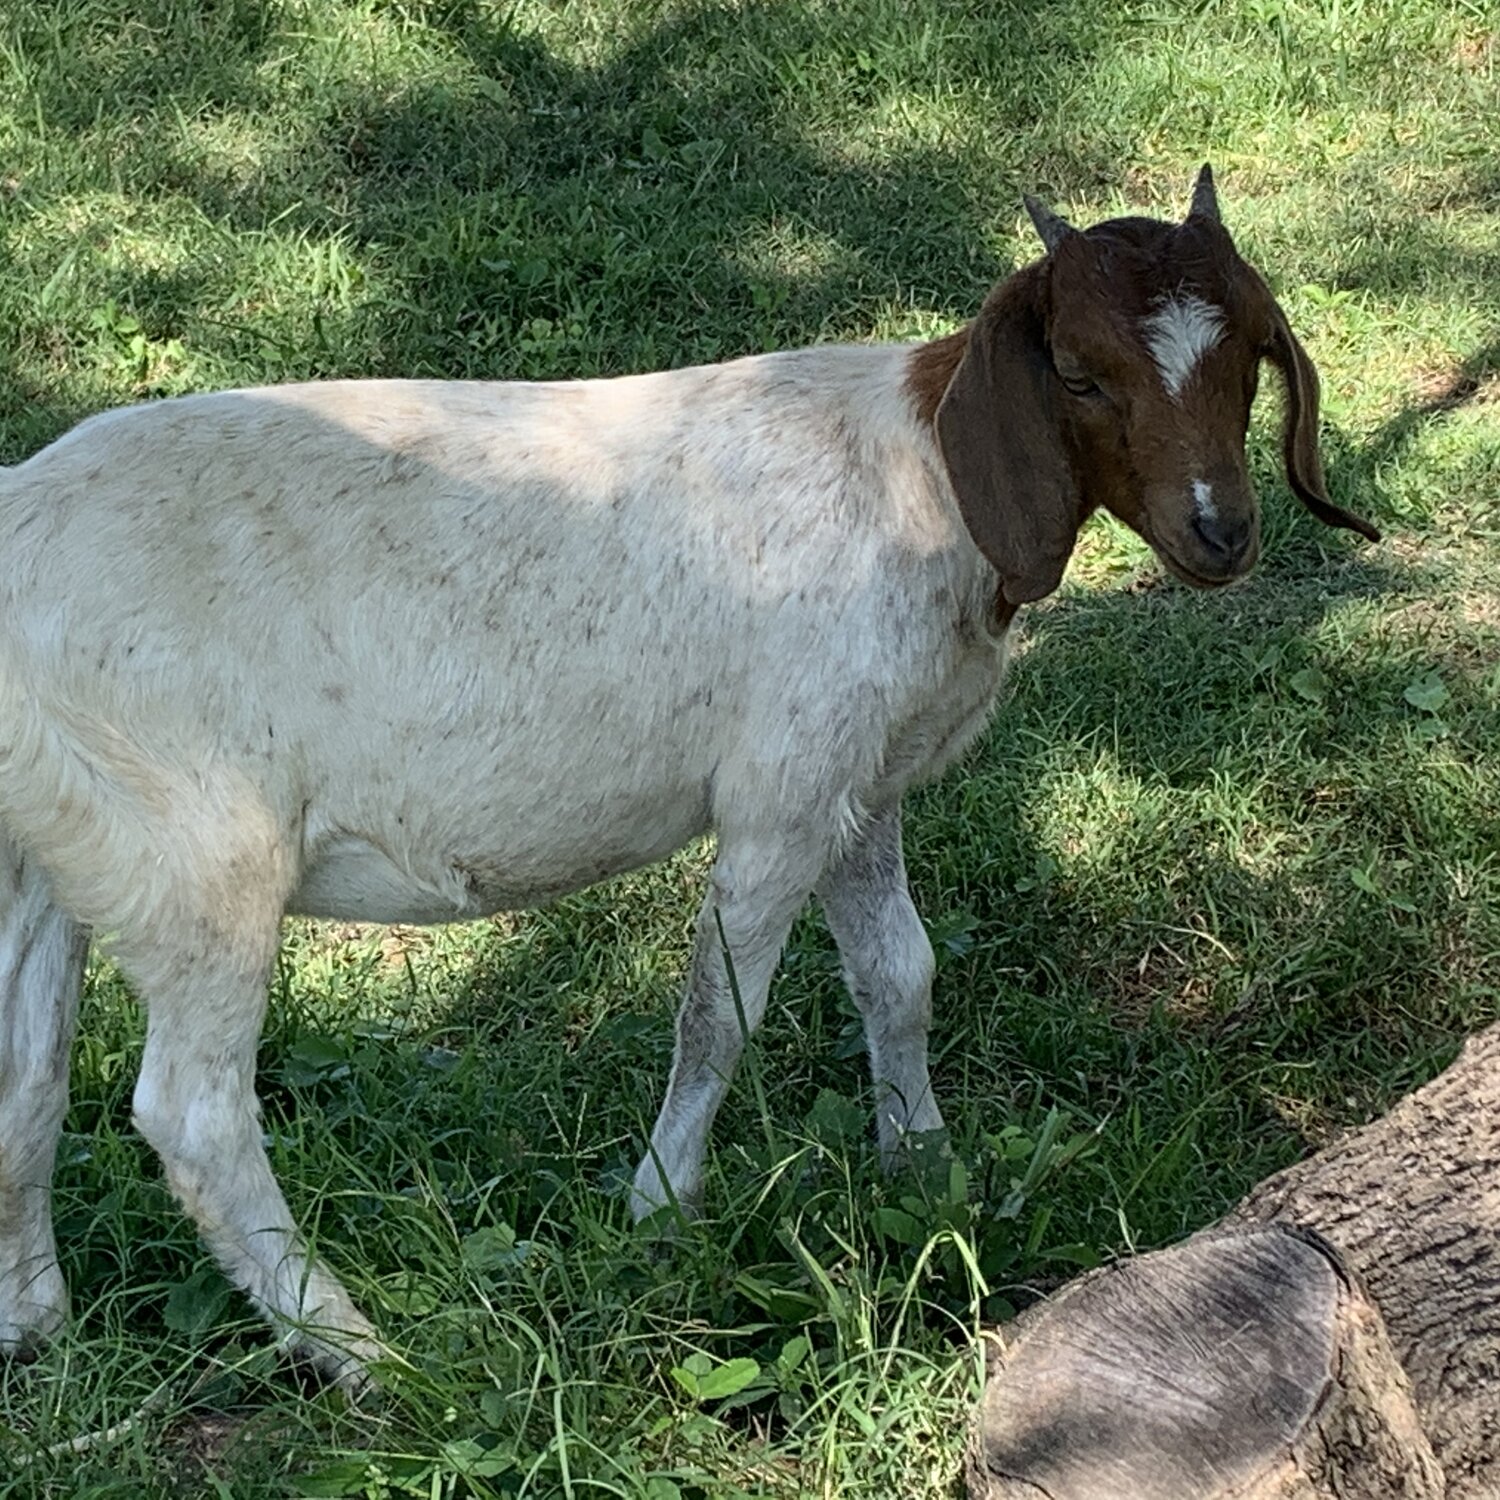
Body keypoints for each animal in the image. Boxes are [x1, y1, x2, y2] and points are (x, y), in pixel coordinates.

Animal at [0, 164, 1374, 1380]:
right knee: (191, 1116)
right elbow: (719, 1012)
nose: (1220, 531)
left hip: (52, 850)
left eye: (1249, 358)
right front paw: (661, 1208)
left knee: (29, 1079)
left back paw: (38, 1325)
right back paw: (359, 1351)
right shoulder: (782, 787)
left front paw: (925, 1170)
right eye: (1082, 374)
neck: (921, 471)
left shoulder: (859, 779)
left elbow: (901, 973)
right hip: (195, 852)